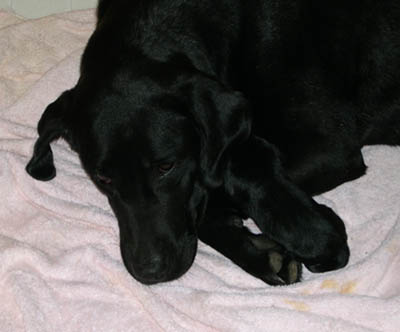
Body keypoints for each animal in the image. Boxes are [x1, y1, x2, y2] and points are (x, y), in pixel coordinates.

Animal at [25, 0, 400, 286]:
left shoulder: (328, 147)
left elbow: (209, 197)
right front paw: (263, 253)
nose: (150, 271)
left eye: (166, 166)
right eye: (103, 179)